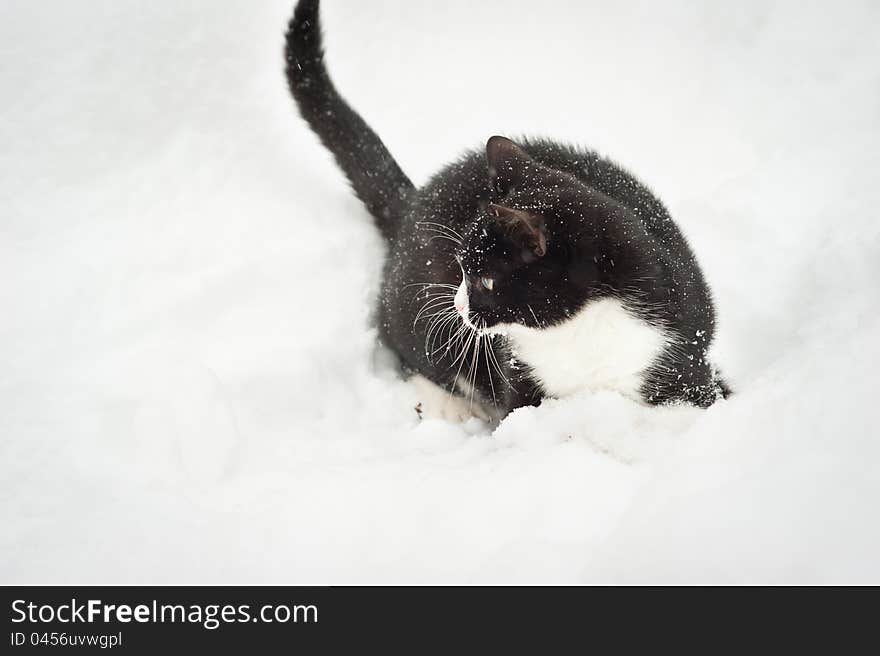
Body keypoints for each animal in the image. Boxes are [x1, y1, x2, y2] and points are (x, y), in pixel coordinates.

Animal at [284, 0, 728, 420]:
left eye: (486, 280)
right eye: (462, 269)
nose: (458, 306)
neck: (577, 334)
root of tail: (415, 200)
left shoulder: (682, 357)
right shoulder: (519, 375)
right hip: (415, 304)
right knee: (404, 339)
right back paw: (449, 404)